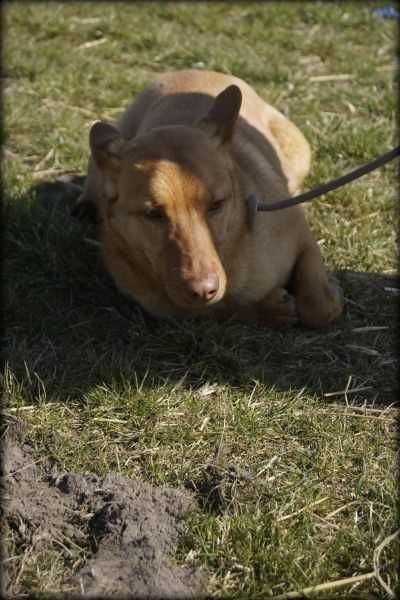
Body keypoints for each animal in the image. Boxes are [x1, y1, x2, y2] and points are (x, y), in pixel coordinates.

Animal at [74, 70, 344, 328]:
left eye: (216, 205)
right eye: (152, 214)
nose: (203, 290)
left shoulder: (303, 236)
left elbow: (318, 307)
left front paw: (327, 294)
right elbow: (217, 309)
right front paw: (266, 309)